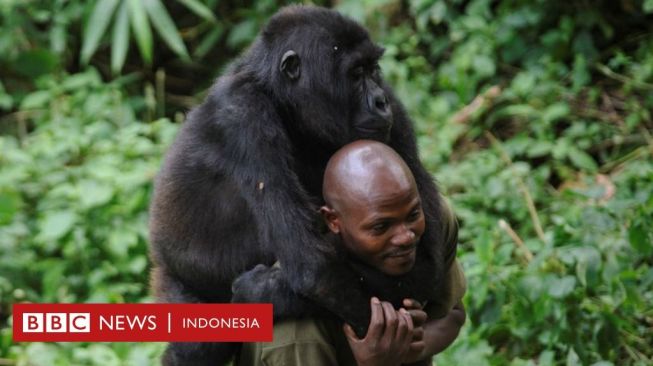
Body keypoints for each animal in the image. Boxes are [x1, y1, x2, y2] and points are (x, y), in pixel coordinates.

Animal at [148, 4, 454, 364]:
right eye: (355, 73)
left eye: (373, 70)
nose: (380, 102)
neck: (281, 98)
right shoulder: (242, 113)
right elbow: (315, 268)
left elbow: (426, 258)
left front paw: (262, 291)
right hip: (173, 278)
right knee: (196, 345)